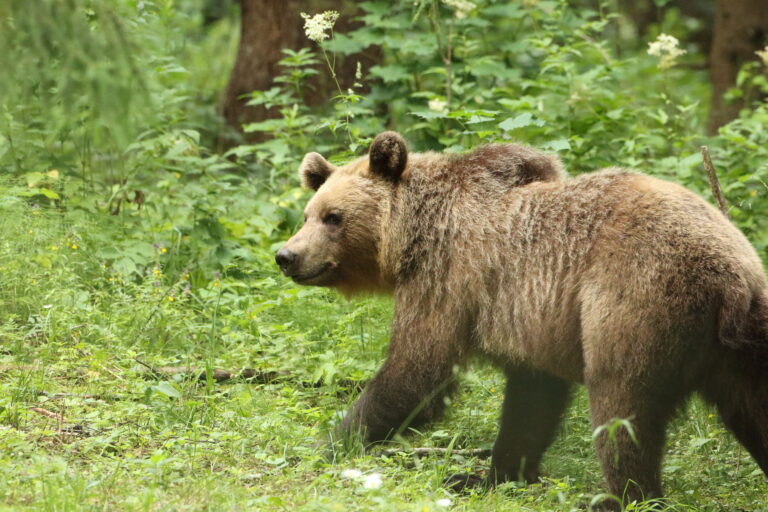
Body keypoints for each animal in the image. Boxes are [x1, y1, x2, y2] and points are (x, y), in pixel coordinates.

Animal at [275, 131, 768, 509]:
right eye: (307, 214)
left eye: (334, 217)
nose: (287, 255)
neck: (414, 237)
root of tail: (728, 278)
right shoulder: (531, 321)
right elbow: (531, 402)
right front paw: (488, 475)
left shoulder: (450, 281)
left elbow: (416, 371)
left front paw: (330, 442)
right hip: (745, 343)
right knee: (754, 409)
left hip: (637, 305)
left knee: (623, 409)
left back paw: (620, 497)